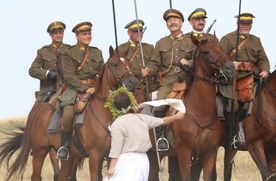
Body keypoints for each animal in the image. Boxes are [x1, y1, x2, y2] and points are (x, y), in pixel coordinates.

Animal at [0, 46, 137, 180]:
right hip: (40, 152)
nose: (132, 81)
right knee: (37, 176)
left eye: (129, 63)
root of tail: (41, 107)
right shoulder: (94, 156)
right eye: (115, 64)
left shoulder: (110, 156)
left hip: (68, 158)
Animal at [147, 33, 235, 181]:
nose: (230, 68)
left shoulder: (210, 153)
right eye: (206, 52)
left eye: (221, 48)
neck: (201, 114)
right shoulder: (184, 153)